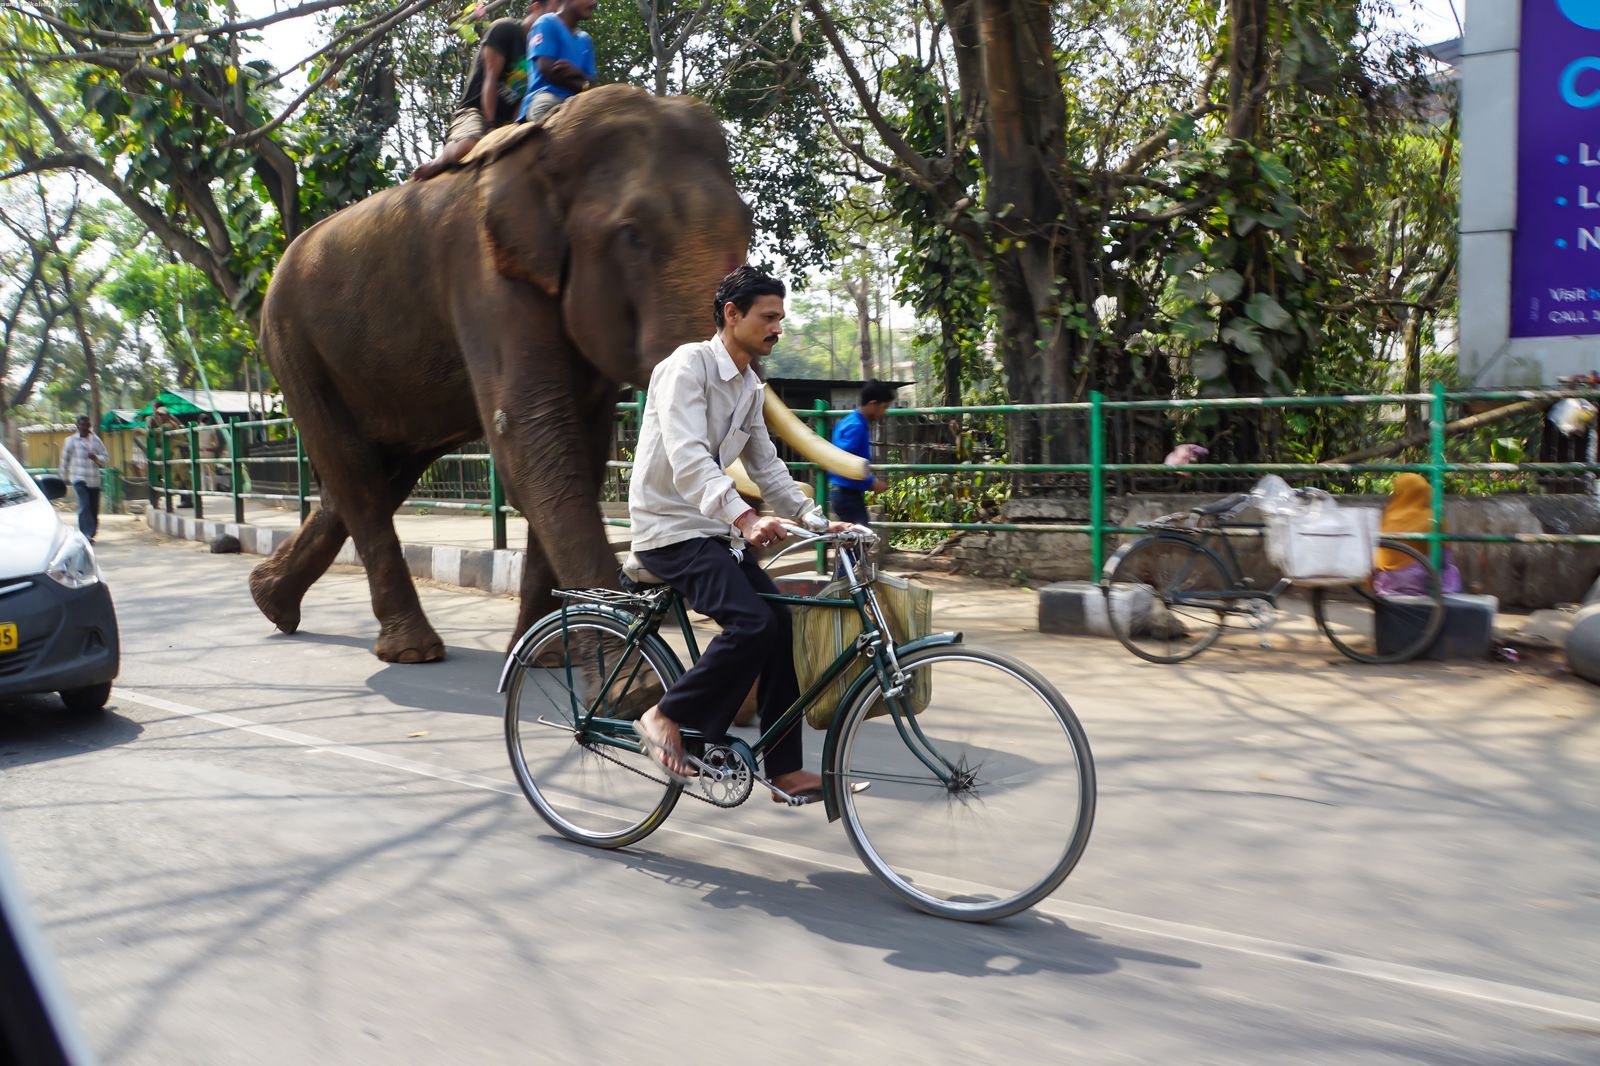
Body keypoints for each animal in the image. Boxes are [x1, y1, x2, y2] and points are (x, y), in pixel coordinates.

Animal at [248, 87, 748, 659]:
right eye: (632, 234)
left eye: (749, 224)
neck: (547, 143)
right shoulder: (483, 274)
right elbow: (532, 443)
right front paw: (613, 665)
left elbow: (580, 451)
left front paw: (550, 654)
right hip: (291, 346)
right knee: (356, 476)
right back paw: (411, 650)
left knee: (381, 475)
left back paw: (270, 603)